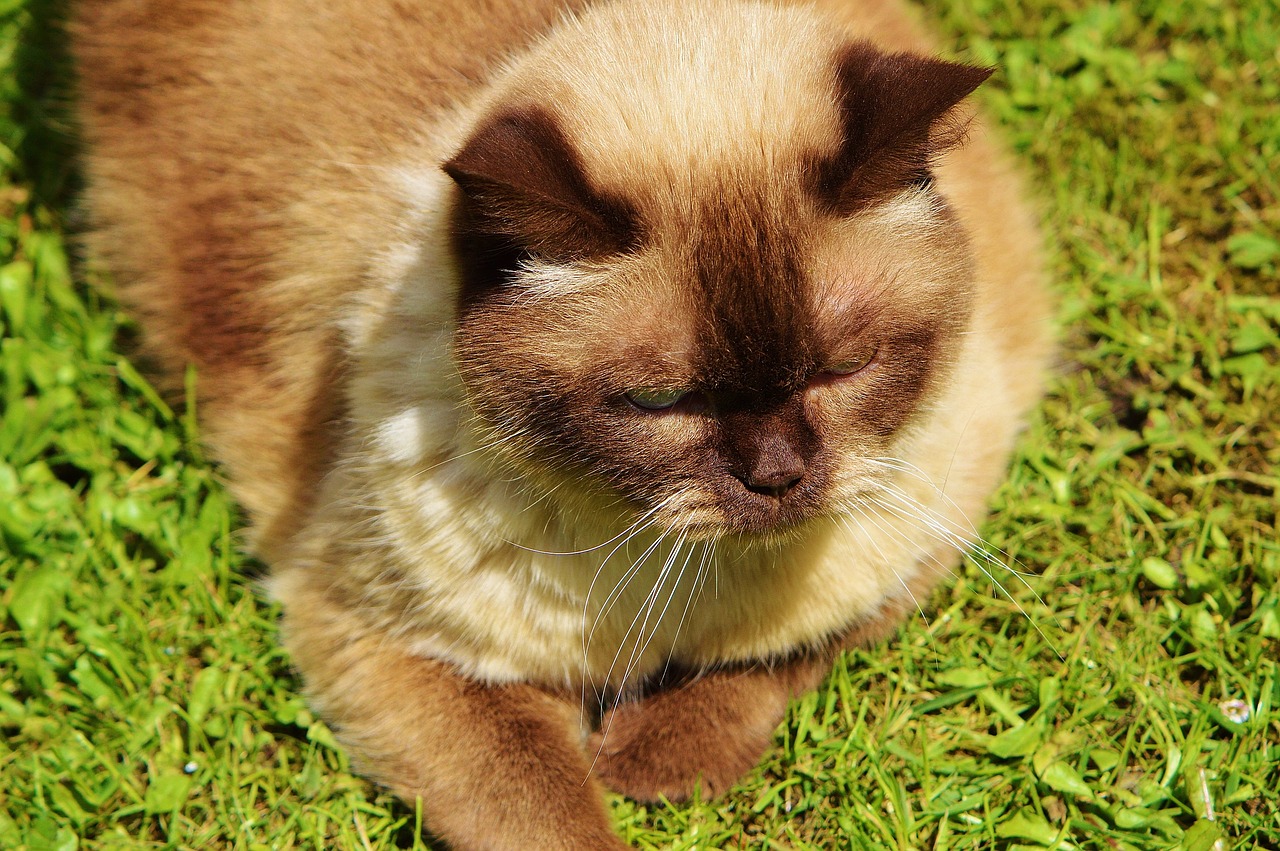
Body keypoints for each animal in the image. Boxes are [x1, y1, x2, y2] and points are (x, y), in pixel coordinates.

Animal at [72, 0, 1049, 844]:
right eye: (661, 402)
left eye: (844, 368)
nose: (777, 477)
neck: (681, 572)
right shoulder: (390, 645)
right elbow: (548, 812)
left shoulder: (922, 532)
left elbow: (769, 661)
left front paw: (649, 765)